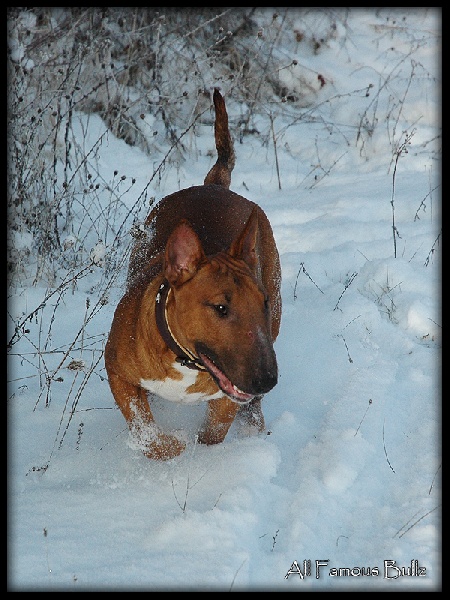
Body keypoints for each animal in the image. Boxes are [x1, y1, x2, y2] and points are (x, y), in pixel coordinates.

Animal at [105, 89, 282, 460]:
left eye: (263, 303)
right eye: (220, 308)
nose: (267, 380)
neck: (186, 360)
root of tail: (215, 185)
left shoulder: (228, 397)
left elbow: (213, 432)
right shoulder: (116, 371)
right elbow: (144, 429)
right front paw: (173, 448)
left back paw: (254, 427)